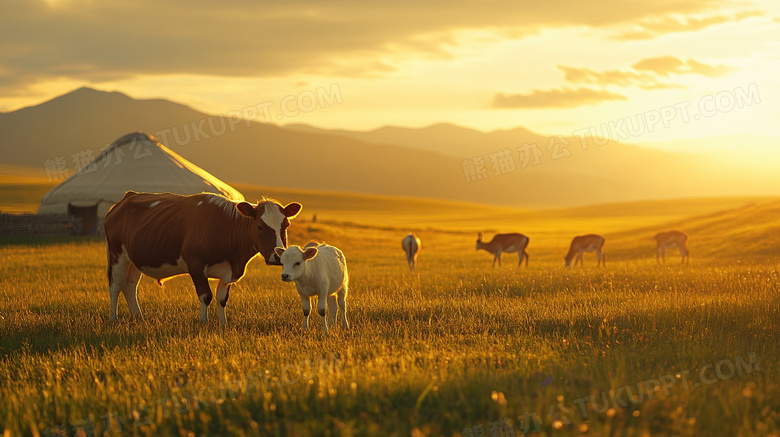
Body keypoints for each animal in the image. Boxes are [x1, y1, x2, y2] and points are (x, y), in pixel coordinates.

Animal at [108, 191, 304, 324]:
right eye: (260, 226)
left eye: (286, 225)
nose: (277, 257)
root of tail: (127, 197)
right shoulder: (196, 266)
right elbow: (206, 296)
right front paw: (204, 322)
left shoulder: (229, 272)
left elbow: (222, 299)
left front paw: (223, 324)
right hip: (117, 255)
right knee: (115, 285)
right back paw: (113, 319)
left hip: (134, 260)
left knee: (130, 286)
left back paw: (138, 317)